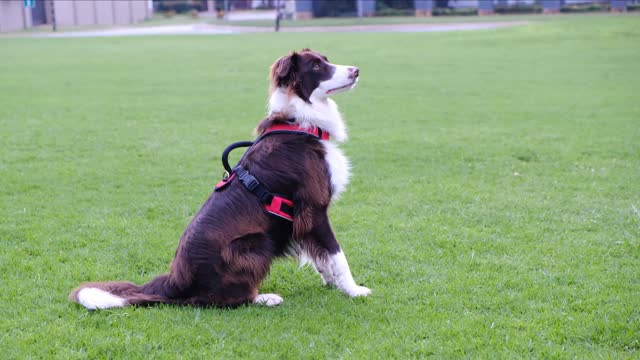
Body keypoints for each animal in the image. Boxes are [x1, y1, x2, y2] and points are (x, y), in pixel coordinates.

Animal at [69, 48, 370, 310]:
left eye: (326, 59)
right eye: (317, 66)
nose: (356, 70)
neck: (300, 123)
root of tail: (175, 282)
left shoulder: (303, 219)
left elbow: (321, 256)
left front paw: (333, 283)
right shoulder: (314, 208)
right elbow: (337, 254)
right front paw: (354, 290)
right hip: (256, 243)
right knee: (221, 300)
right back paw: (264, 298)